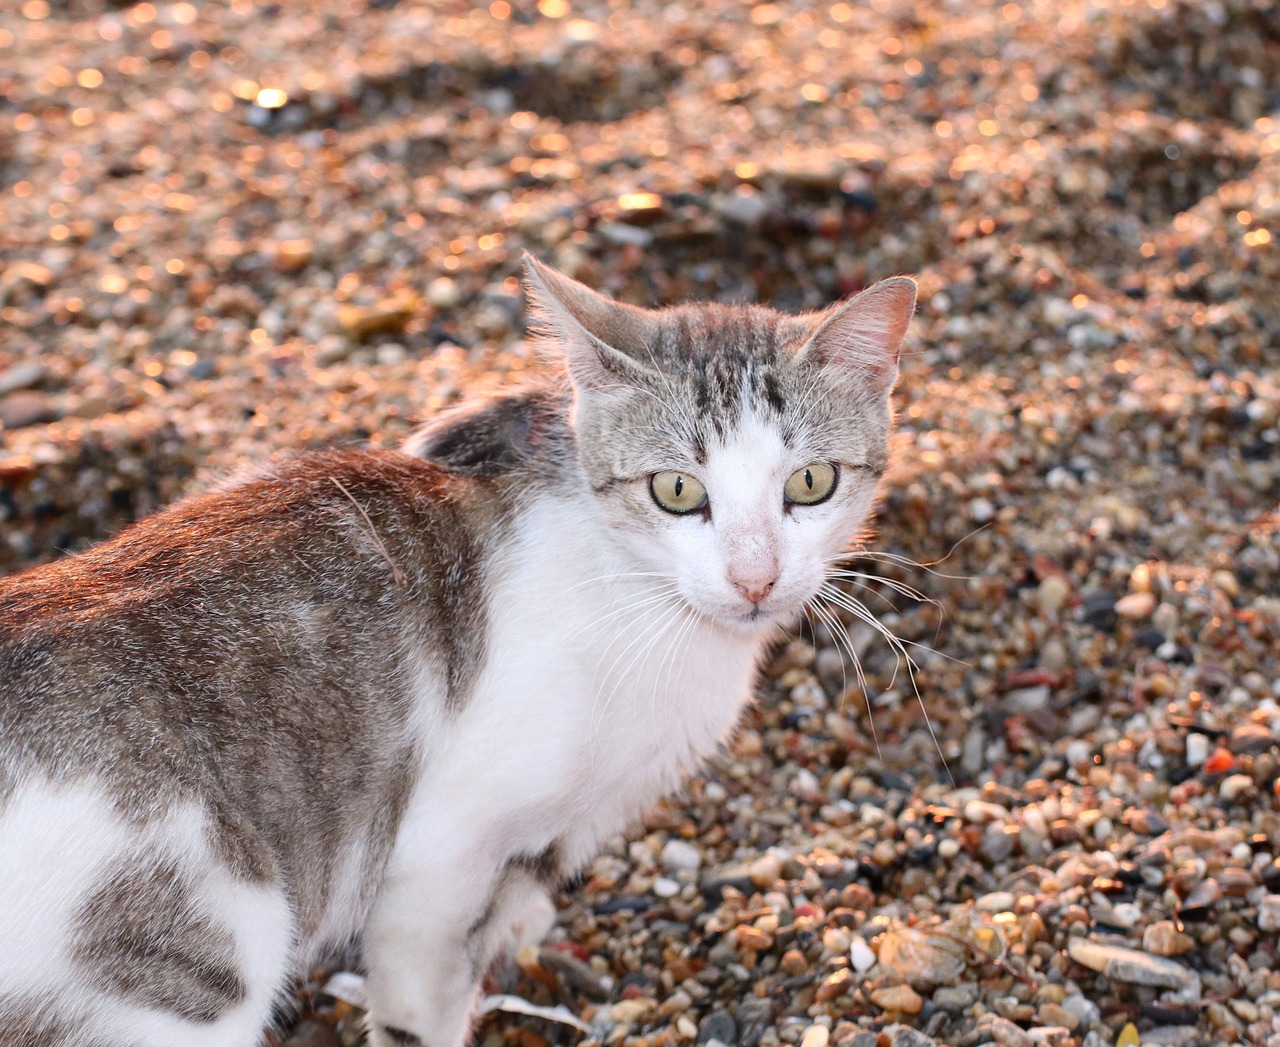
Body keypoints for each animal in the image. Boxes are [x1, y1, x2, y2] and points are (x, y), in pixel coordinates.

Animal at [0, 254, 916, 1044]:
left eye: (811, 482)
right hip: (195, 957)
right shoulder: (440, 856)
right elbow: (423, 1003)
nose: (756, 576)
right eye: (677, 490)